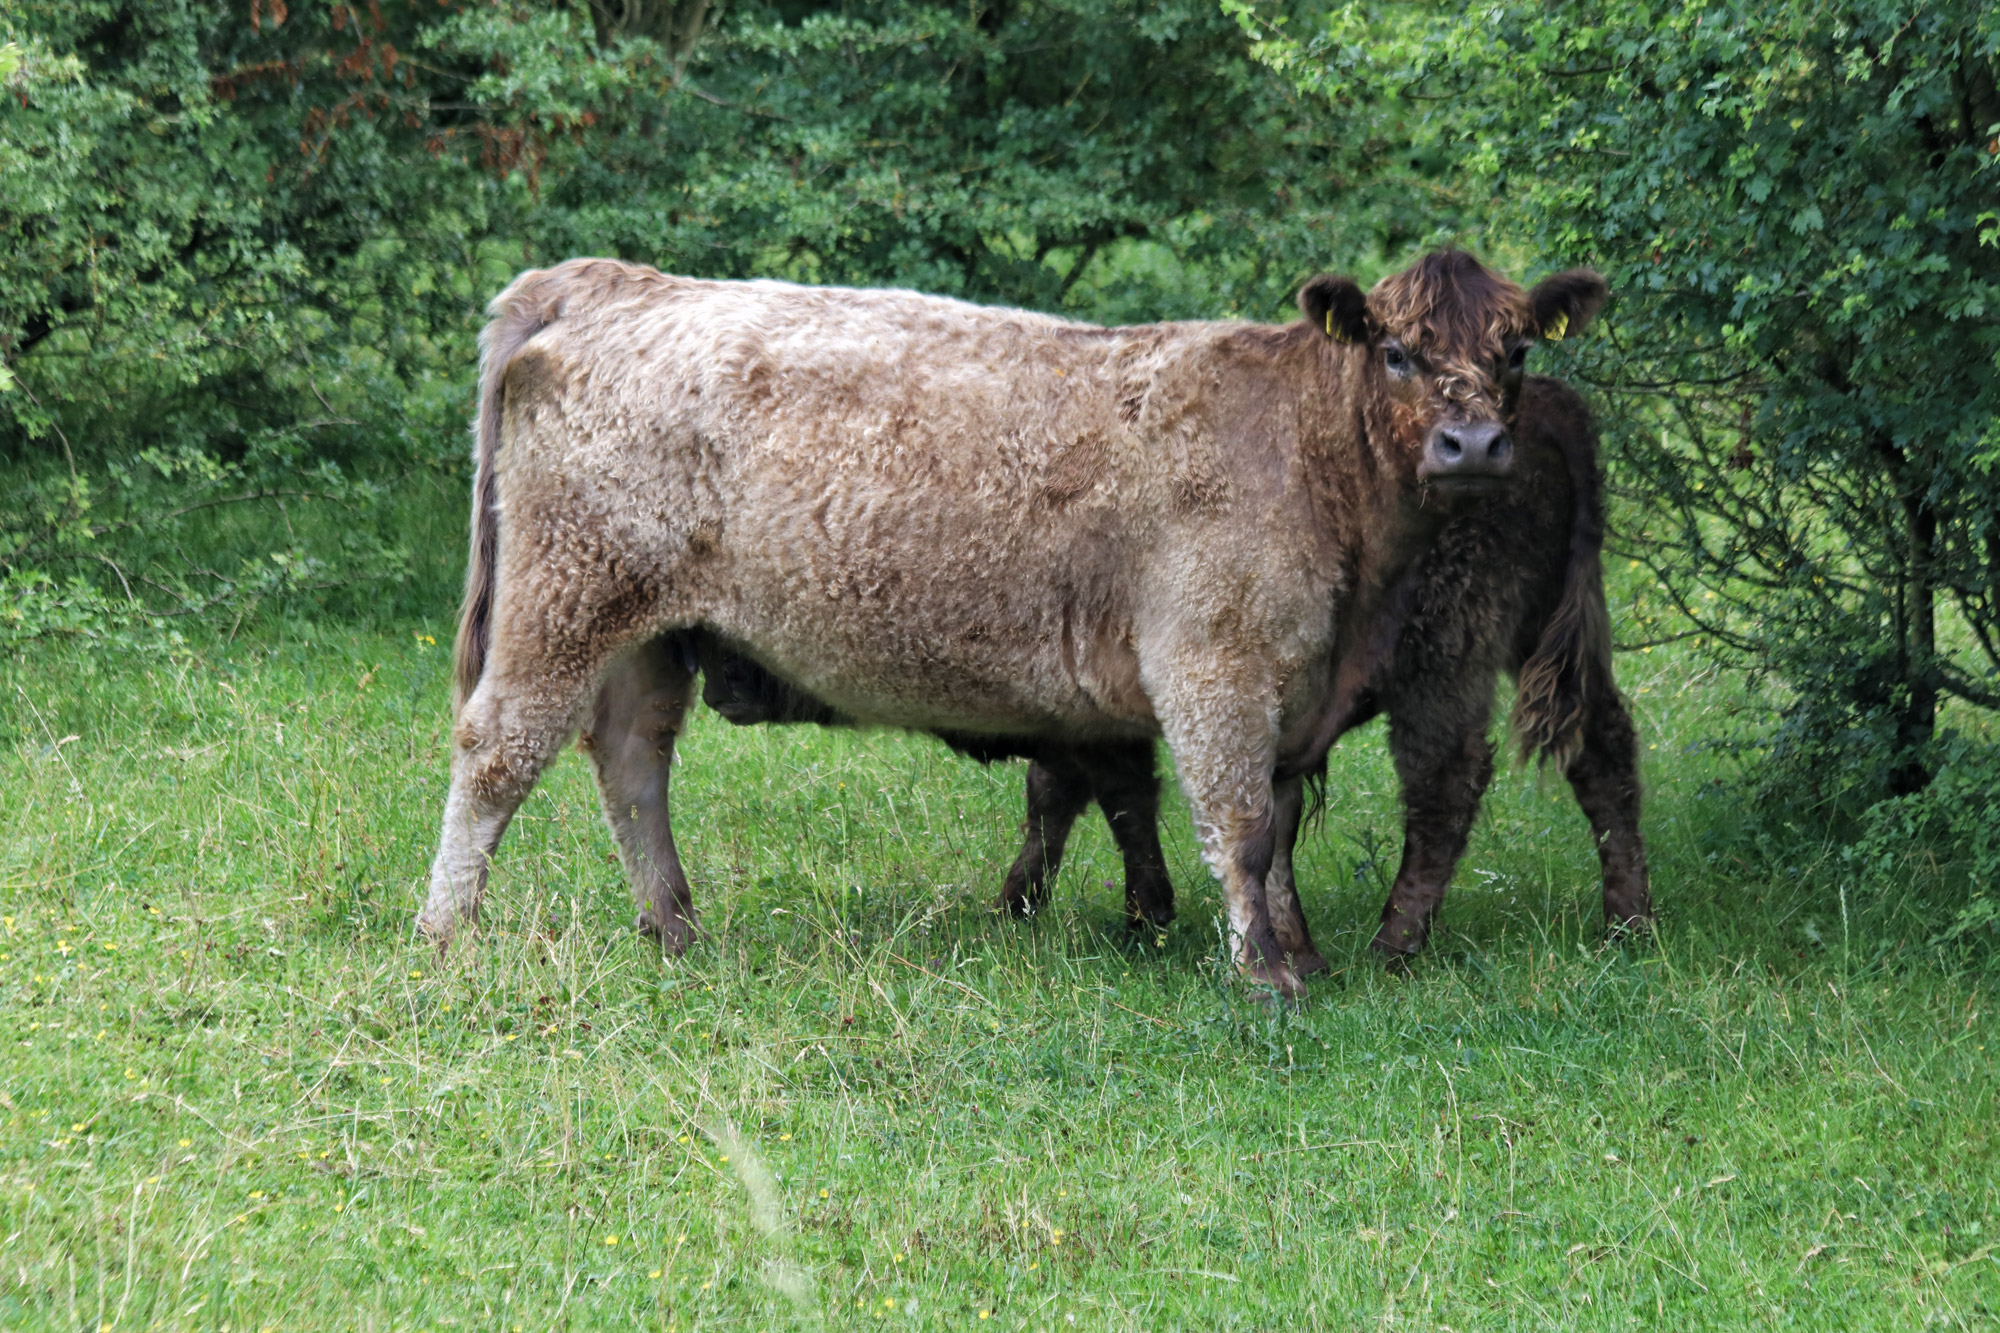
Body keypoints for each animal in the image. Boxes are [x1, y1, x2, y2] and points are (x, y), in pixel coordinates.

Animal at [422, 252, 1608, 996]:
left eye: (1513, 352)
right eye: (1397, 352)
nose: (1471, 446)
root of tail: (615, 280)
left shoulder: (1286, 680)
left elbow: (1266, 826)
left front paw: (1293, 953)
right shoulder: (1213, 663)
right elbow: (1235, 821)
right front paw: (1266, 976)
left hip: (648, 632)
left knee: (631, 760)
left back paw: (672, 926)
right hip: (567, 598)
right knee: (498, 751)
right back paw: (447, 934)